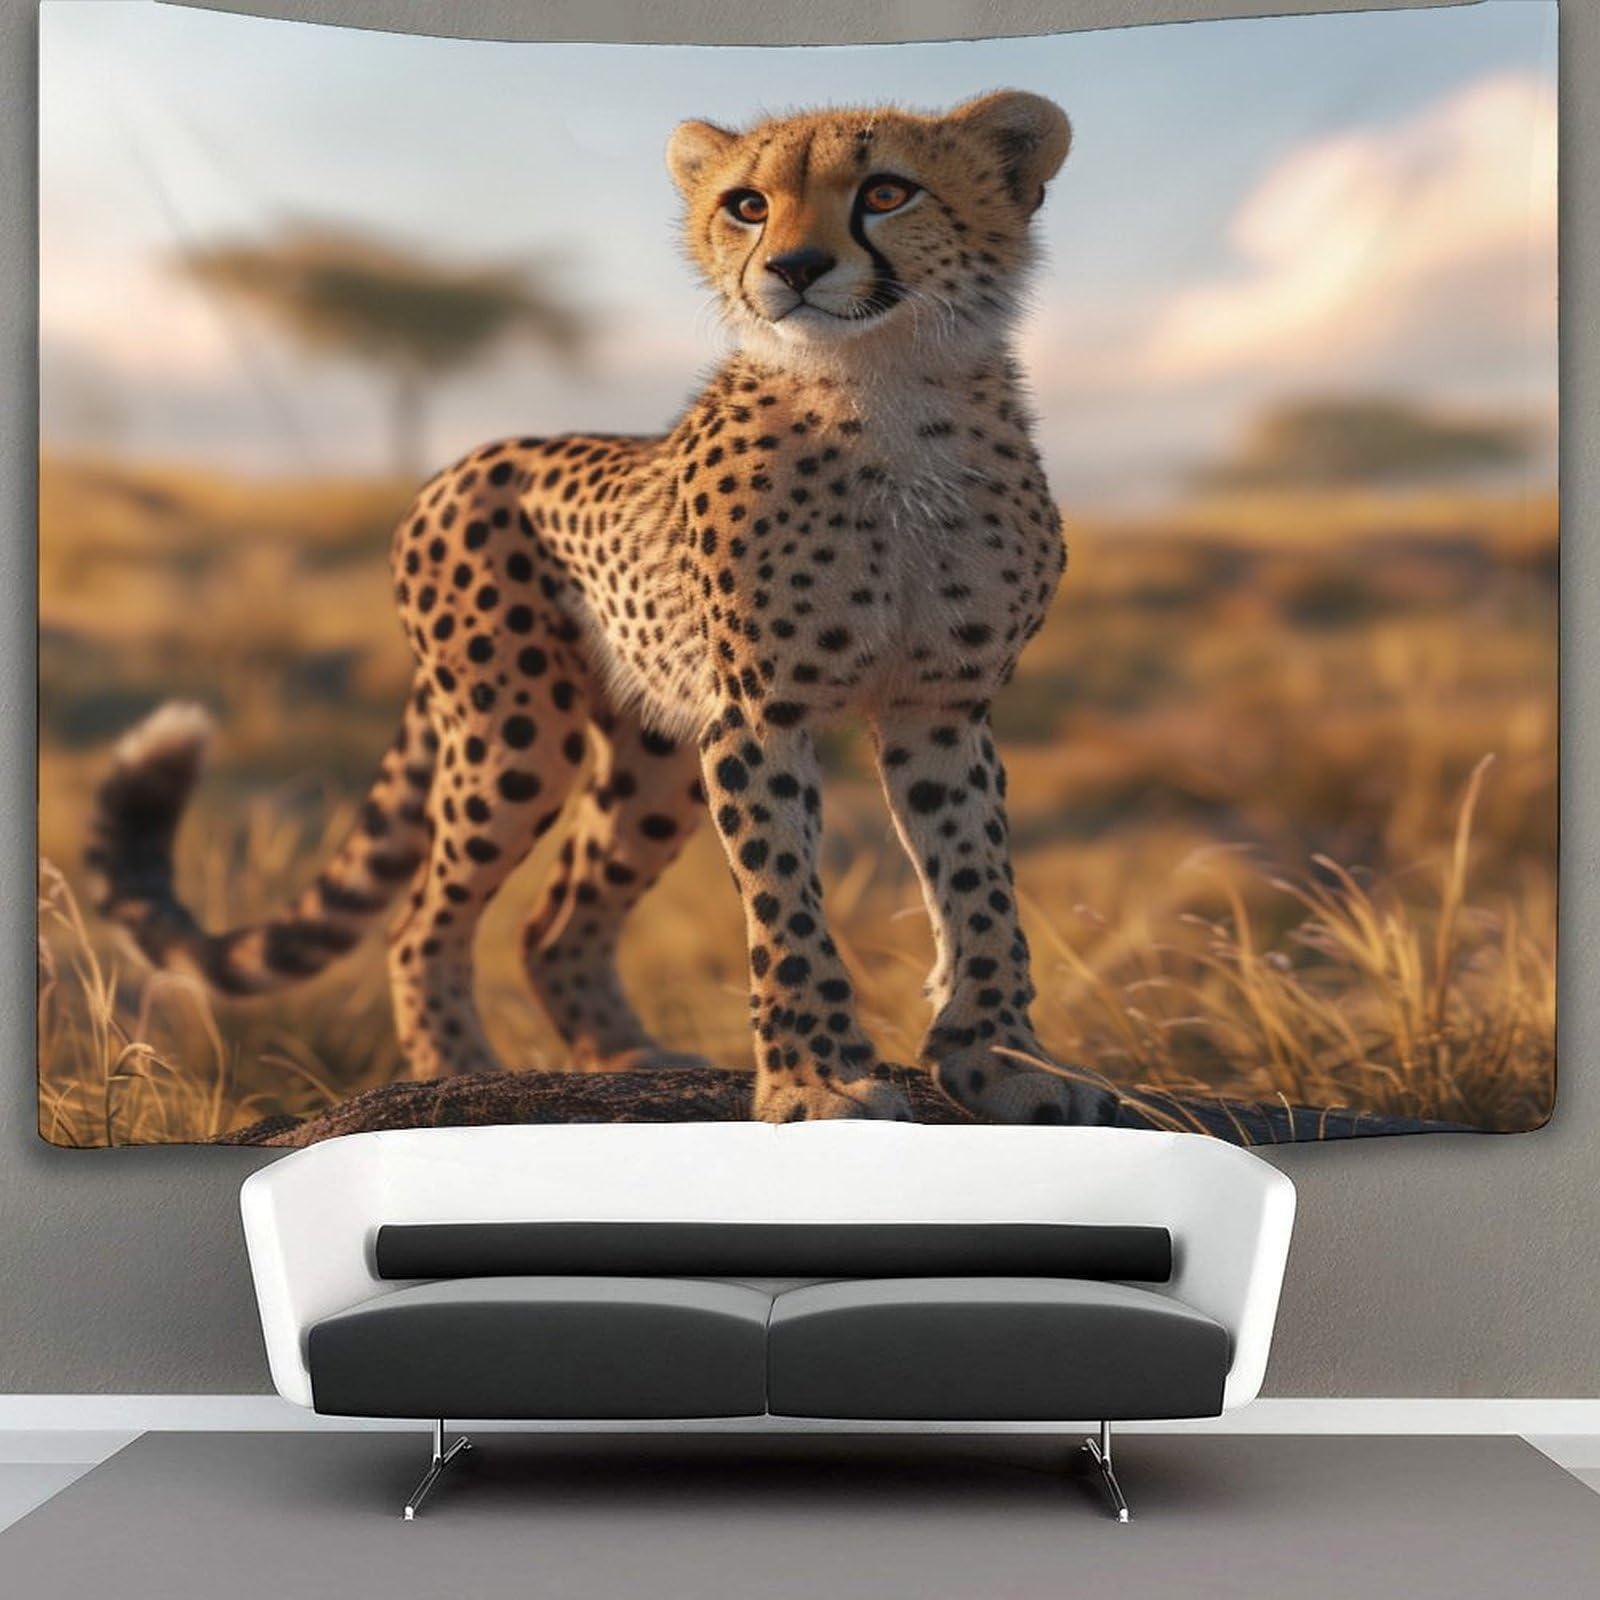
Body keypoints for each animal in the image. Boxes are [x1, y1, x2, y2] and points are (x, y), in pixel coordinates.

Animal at [88, 90, 1119, 1127]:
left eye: (886, 192)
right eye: (748, 205)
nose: (793, 268)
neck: (888, 394)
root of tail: (456, 466)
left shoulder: (939, 708)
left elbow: (979, 883)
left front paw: (1003, 1058)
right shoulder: (758, 716)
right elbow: (783, 903)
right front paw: (816, 1080)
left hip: (654, 762)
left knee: (552, 923)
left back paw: (627, 1056)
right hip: (514, 734)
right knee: (422, 919)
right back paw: (458, 1072)